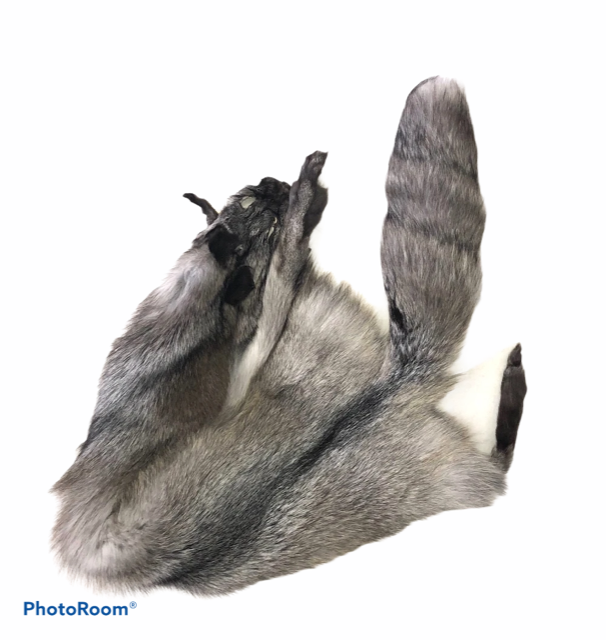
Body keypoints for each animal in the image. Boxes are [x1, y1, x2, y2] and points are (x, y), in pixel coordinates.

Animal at [52, 76, 527, 595]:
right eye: (247, 205)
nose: (272, 185)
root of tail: (386, 389)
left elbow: (277, 278)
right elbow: (280, 271)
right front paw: (299, 210)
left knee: (500, 459)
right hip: (440, 477)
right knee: (499, 461)